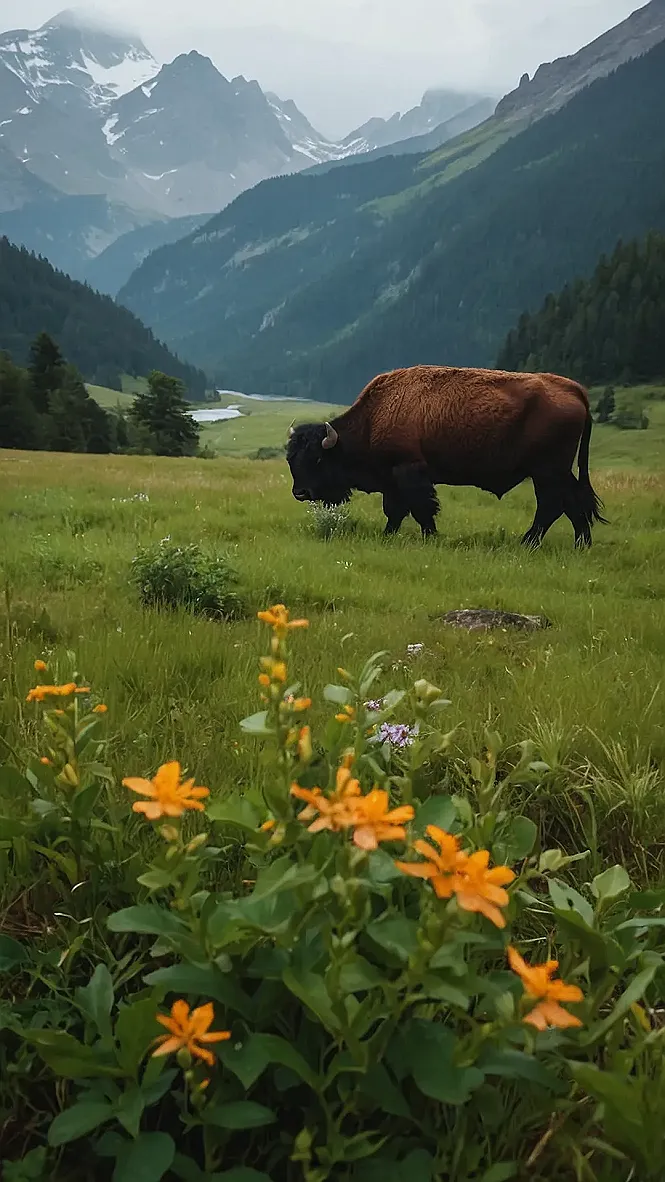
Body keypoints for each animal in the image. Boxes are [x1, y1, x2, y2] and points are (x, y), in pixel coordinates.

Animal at [286, 365, 607, 548]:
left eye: (317, 459)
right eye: (291, 459)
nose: (300, 492)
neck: (373, 417)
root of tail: (573, 389)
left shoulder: (408, 470)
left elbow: (419, 508)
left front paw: (430, 536)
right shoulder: (392, 480)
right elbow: (395, 511)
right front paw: (388, 535)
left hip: (546, 471)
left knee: (552, 505)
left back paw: (528, 542)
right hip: (557, 471)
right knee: (572, 502)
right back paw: (581, 544)